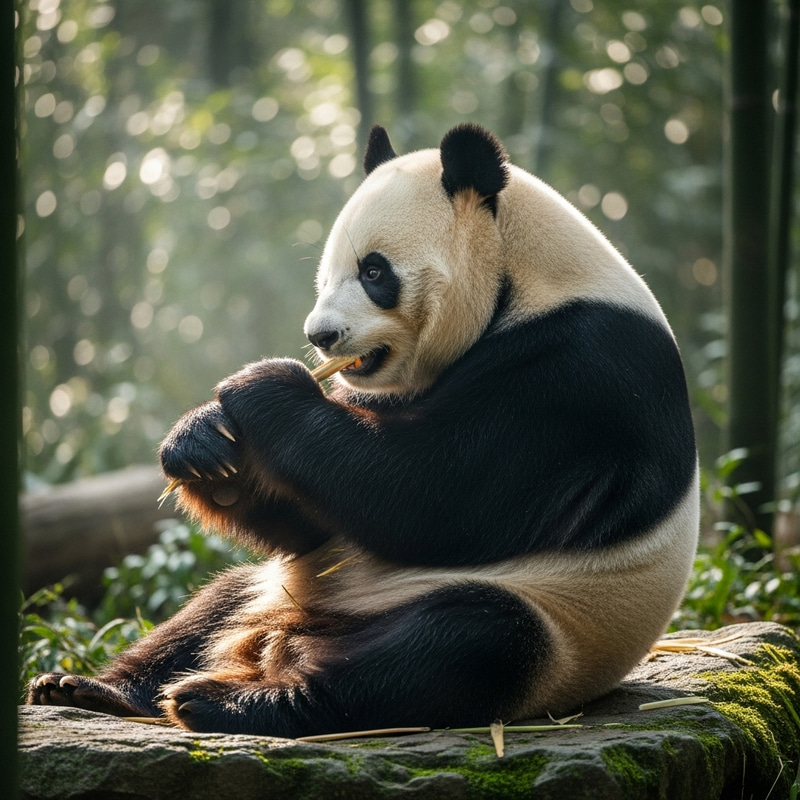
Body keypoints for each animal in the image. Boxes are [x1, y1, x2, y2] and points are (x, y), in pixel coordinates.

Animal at [28, 124, 699, 737]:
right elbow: (316, 516)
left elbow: (429, 496)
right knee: (215, 604)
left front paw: (262, 386)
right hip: (286, 589)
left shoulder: (578, 378)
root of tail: (284, 638)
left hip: (558, 623)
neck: (527, 276)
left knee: (459, 642)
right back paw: (96, 689)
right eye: (324, 277)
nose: (322, 335)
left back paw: (235, 701)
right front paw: (203, 443)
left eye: (374, 272)